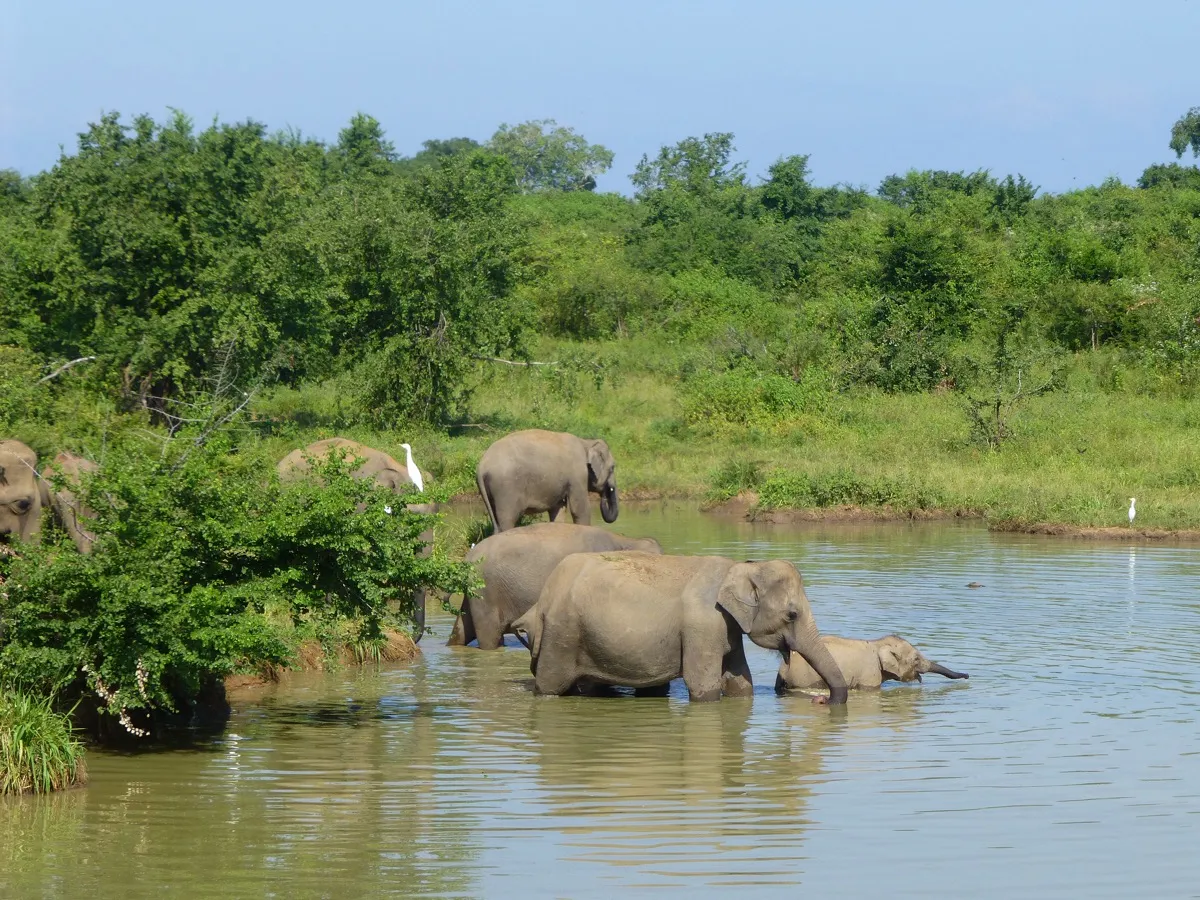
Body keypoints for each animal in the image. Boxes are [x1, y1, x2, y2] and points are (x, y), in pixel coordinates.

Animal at [447, 522, 662, 650]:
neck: (625, 539)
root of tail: (467, 557)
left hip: (475, 594)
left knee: (462, 629)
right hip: (487, 592)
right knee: (489, 636)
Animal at [475, 429, 618, 533]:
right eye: (613, 467)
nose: (604, 495)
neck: (585, 442)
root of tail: (481, 467)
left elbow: (558, 509)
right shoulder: (577, 474)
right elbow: (580, 508)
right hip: (505, 489)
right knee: (507, 520)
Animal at [513, 552, 848, 704]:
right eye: (792, 614)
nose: (821, 700)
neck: (740, 566)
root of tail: (544, 597)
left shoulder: (727, 627)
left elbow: (741, 682)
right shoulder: (703, 625)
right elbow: (704, 687)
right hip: (561, 635)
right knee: (550, 687)